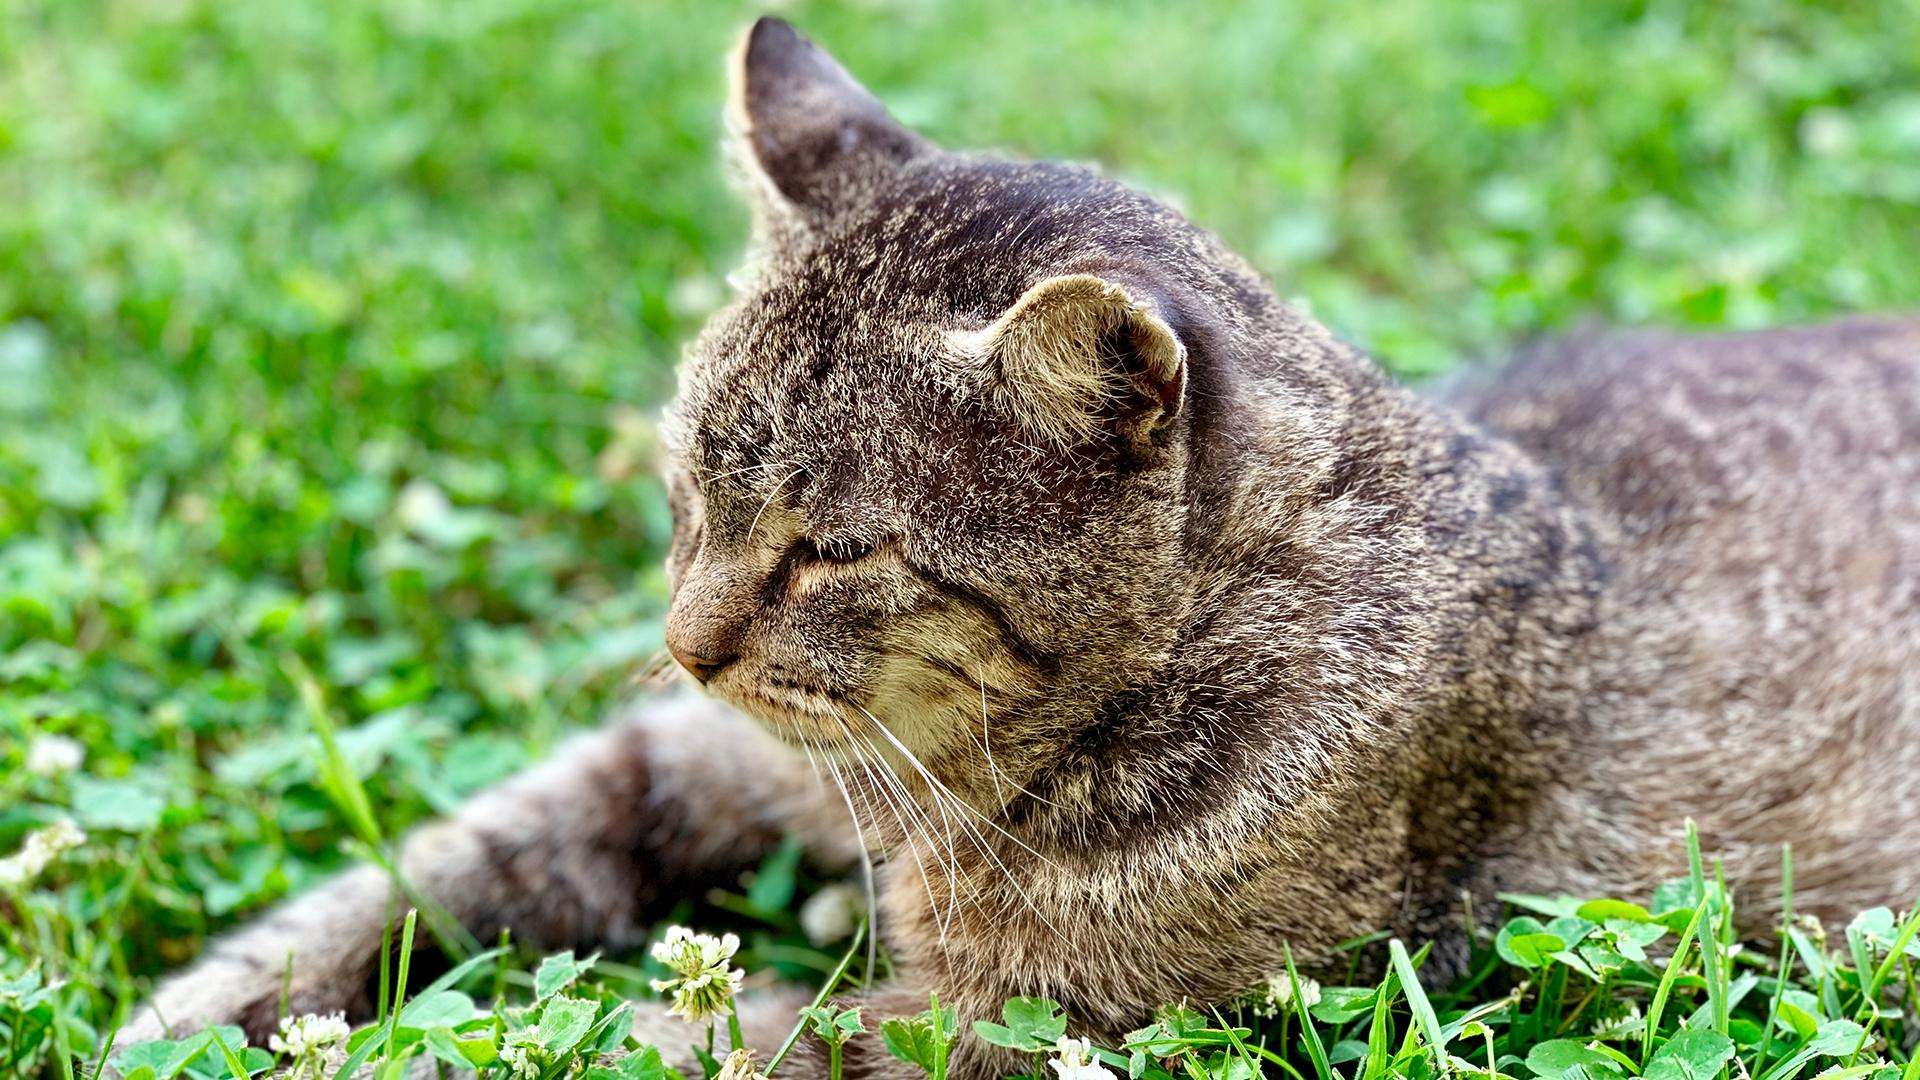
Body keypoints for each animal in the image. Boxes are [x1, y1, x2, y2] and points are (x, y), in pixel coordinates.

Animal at [120, 16, 1920, 1076]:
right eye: (687, 489)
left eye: (831, 549)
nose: (689, 644)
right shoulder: (689, 760)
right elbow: (439, 867)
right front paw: (202, 1009)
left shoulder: (1028, 1029)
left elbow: (632, 1039)